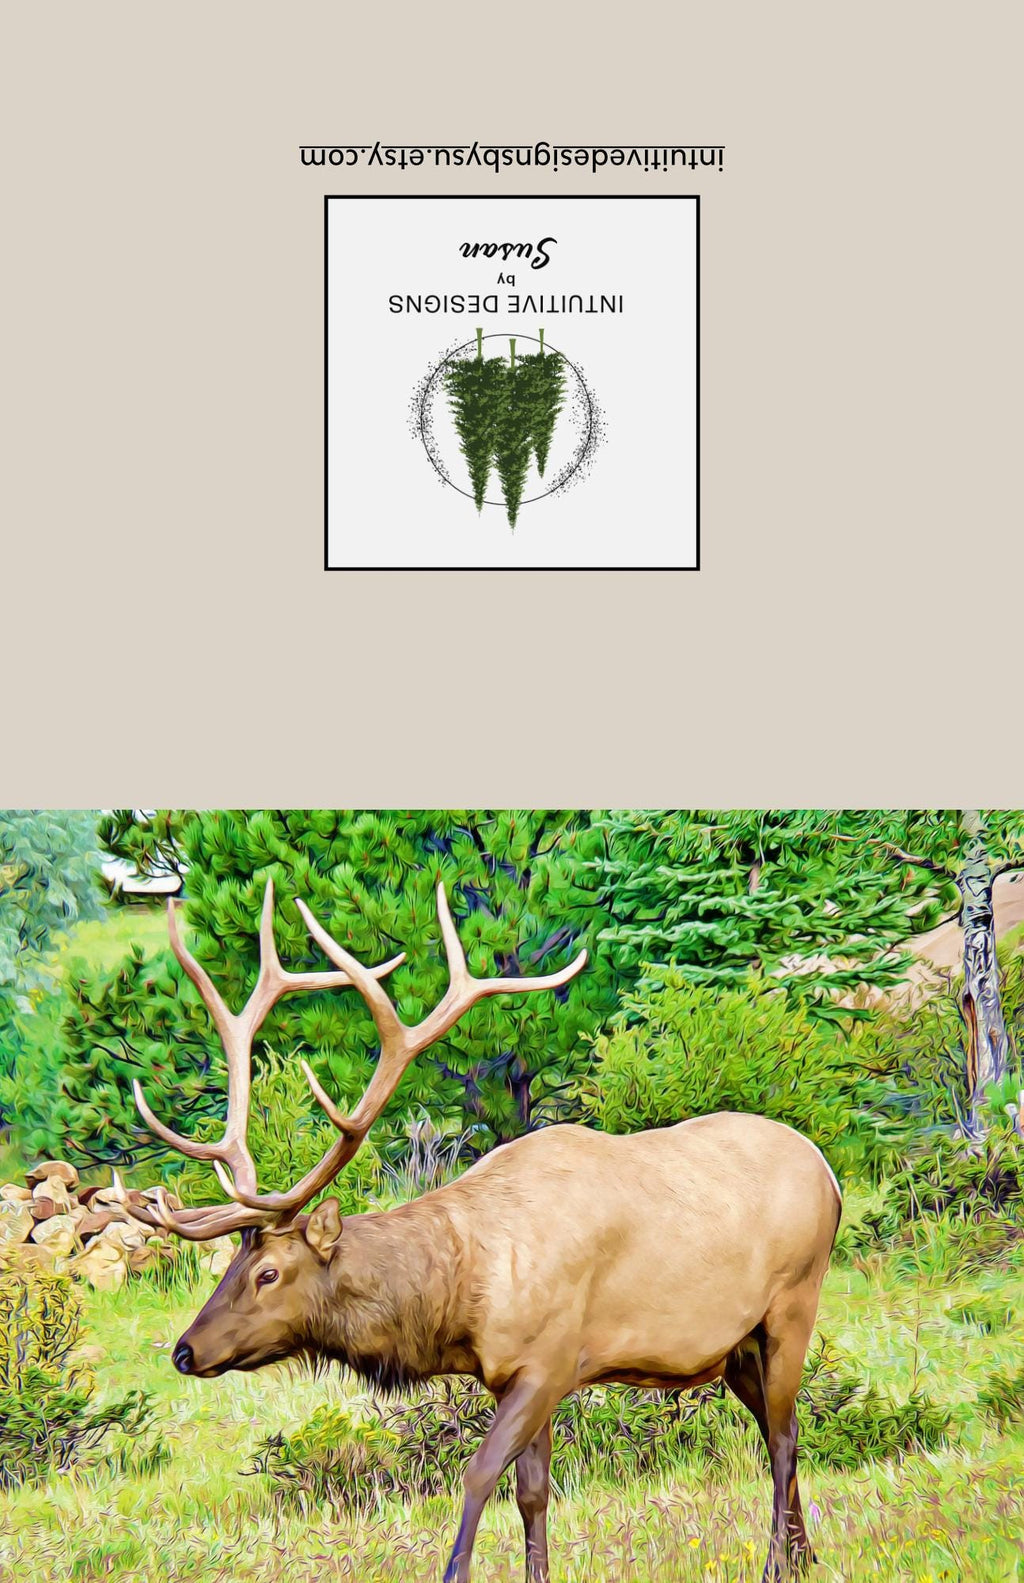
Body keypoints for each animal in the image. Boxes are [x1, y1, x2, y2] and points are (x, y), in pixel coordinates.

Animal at [113, 878, 842, 1583]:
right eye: (232, 1266)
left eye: (269, 1273)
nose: (185, 1350)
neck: (465, 1294)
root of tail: (829, 1174)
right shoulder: (510, 1375)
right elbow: (533, 1492)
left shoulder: (550, 1361)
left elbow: (479, 1474)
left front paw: (456, 1570)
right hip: (736, 1345)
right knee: (780, 1426)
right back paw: (806, 1555)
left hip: (793, 1303)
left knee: (783, 1435)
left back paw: (778, 1562)